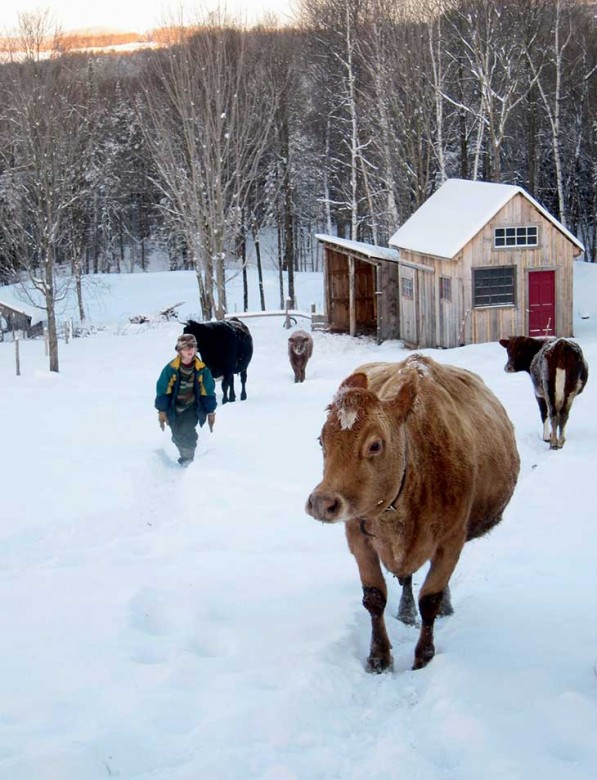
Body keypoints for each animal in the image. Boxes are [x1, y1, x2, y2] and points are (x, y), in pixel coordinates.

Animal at [304, 356, 520, 672]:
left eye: (375, 445)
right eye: (321, 440)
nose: (322, 502)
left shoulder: (452, 539)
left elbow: (430, 598)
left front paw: (423, 656)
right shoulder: (358, 535)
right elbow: (374, 597)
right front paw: (379, 657)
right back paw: (405, 613)